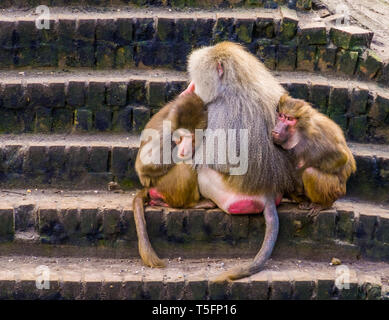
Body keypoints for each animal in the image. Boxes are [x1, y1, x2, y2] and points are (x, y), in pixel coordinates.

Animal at [133, 92, 212, 268]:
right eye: (180, 138)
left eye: (192, 138)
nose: (183, 149)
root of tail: (148, 188)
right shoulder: (165, 133)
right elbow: (144, 165)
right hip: (165, 186)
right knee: (185, 166)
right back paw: (191, 204)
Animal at [180, 41, 294, 282]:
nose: (187, 89)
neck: (236, 83)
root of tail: (267, 192)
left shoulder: (218, 111)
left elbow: (209, 159)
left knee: (204, 173)